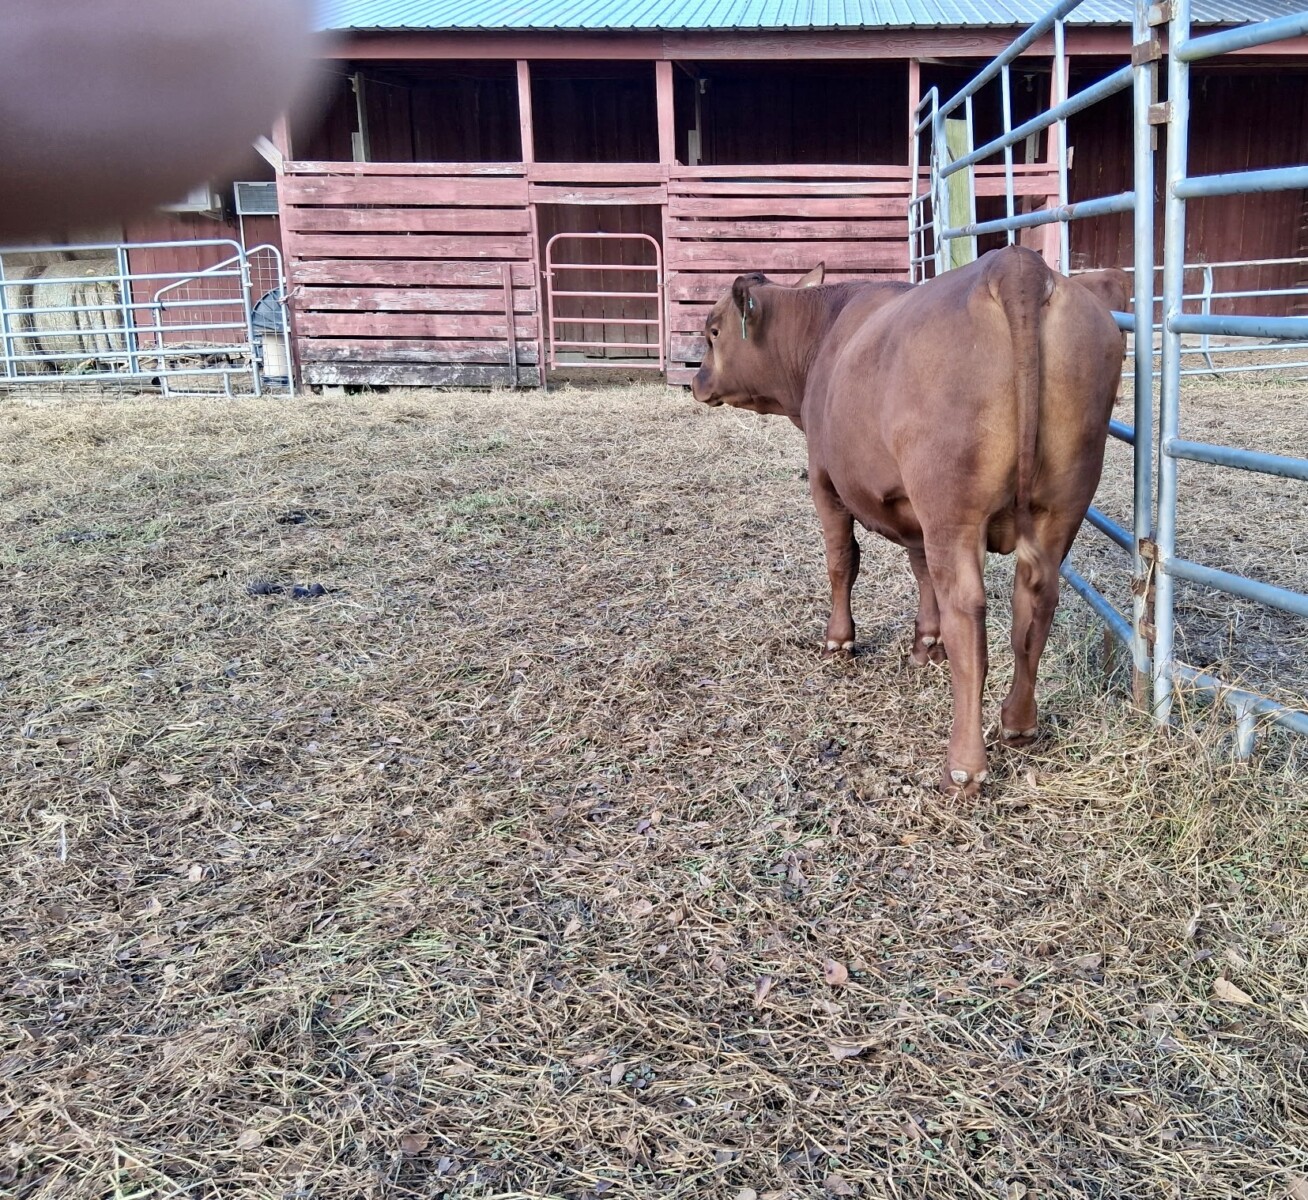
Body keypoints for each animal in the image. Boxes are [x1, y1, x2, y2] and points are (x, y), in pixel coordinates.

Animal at [691, 246, 1129, 796]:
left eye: (713, 330)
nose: (695, 381)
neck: (823, 336)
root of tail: (1014, 265)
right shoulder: (910, 507)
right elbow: (921, 571)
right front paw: (926, 644)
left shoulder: (826, 481)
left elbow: (843, 561)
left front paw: (840, 640)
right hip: (1061, 506)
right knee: (1035, 602)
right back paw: (1018, 723)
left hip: (952, 507)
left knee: (968, 611)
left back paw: (964, 765)